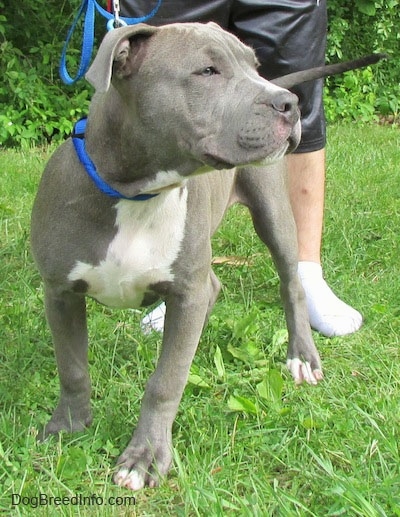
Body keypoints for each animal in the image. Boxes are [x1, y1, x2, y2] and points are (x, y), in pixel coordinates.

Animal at [31, 22, 324, 490]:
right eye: (207, 71)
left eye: (254, 65)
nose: (289, 103)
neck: (136, 192)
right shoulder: (60, 292)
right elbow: (72, 368)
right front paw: (68, 427)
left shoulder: (186, 289)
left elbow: (166, 381)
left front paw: (145, 457)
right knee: (214, 287)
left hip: (273, 212)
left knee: (290, 283)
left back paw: (302, 356)